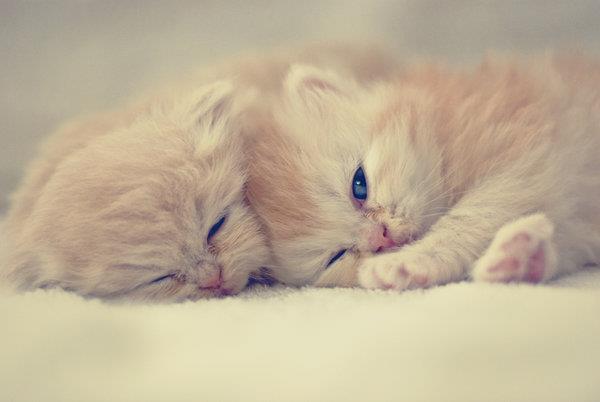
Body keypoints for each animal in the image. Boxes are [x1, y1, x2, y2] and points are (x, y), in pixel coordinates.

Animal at [246, 53, 600, 290]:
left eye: (359, 185)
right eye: (338, 256)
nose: (382, 238)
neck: (442, 128)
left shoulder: (529, 154)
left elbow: (469, 218)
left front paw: (407, 262)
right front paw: (519, 257)